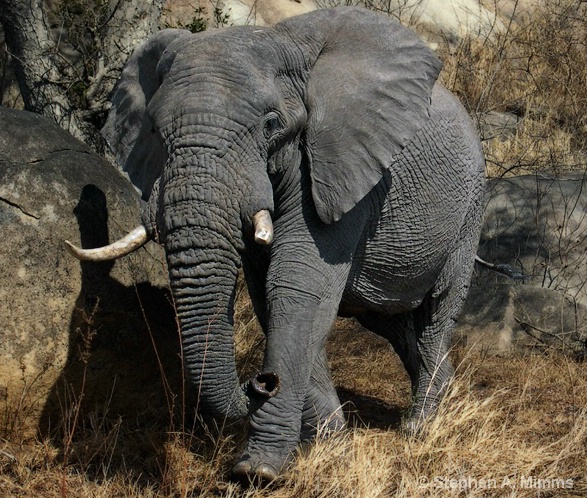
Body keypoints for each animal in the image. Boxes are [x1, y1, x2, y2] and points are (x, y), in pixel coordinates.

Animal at [64, 5, 486, 484]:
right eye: (153, 128)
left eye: (270, 125)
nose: (260, 382)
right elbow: (270, 293)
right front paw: (327, 443)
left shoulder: (334, 163)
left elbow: (298, 284)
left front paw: (258, 471)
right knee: (391, 322)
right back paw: (441, 400)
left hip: (469, 208)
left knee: (436, 311)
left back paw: (422, 425)